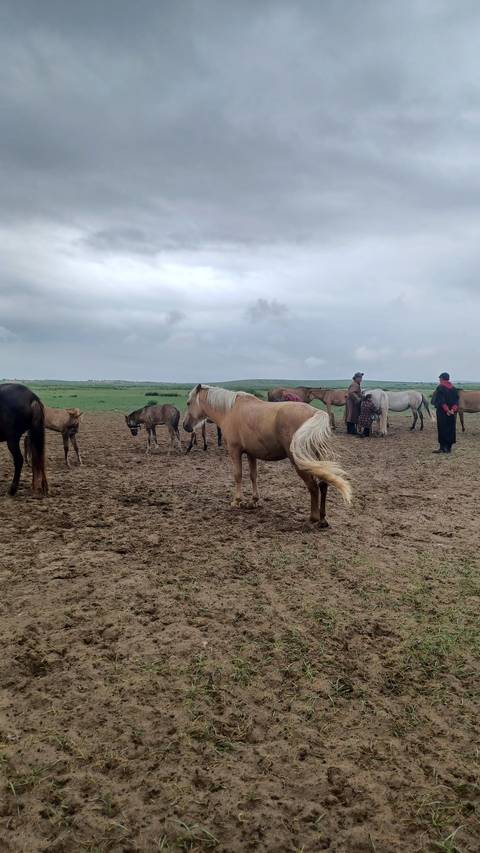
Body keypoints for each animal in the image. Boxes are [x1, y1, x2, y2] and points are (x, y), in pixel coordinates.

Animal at [183, 384, 351, 526]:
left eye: (188, 403)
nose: (185, 426)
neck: (230, 410)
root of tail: (315, 413)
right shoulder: (251, 453)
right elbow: (253, 476)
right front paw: (254, 501)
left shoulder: (234, 451)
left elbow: (238, 475)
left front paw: (237, 501)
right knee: (323, 485)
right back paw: (322, 519)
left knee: (313, 487)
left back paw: (313, 518)